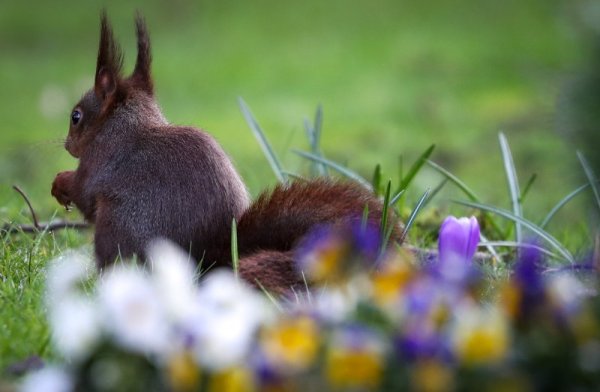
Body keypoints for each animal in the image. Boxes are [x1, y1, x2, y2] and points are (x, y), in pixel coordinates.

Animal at [50, 14, 398, 294]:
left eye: (76, 116)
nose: (67, 146)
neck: (124, 122)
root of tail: (206, 263)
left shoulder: (100, 163)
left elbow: (84, 193)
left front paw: (60, 183)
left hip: (115, 229)